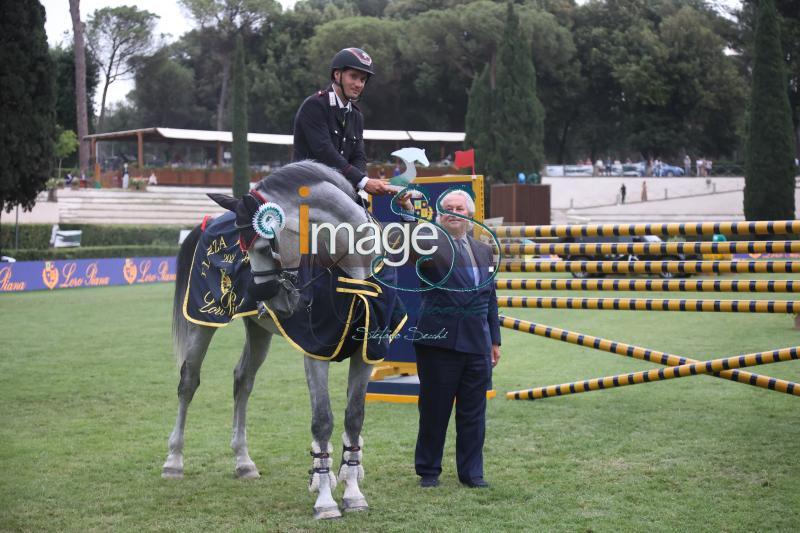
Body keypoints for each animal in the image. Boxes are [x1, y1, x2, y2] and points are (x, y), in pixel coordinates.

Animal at [162, 160, 382, 516]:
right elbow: (322, 419)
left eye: (266, 246)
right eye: (244, 248)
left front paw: (352, 492)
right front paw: (325, 500)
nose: (271, 299)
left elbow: (354, 418)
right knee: (188, 382)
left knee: (242, 381)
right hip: (203, 322)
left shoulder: (366, 354)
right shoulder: (315, 353)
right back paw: (174, 461)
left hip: (258, 331)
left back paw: (243, 461)